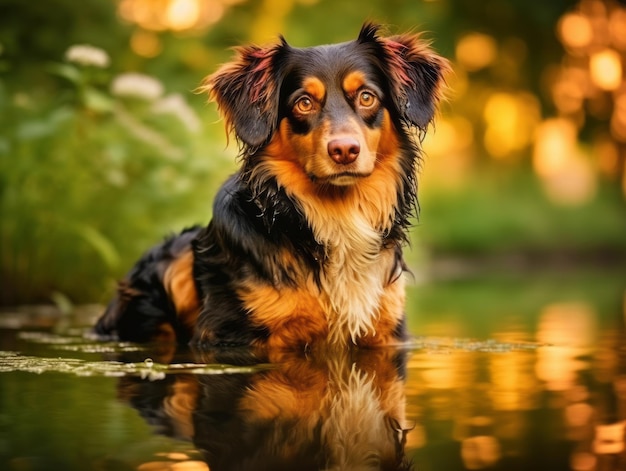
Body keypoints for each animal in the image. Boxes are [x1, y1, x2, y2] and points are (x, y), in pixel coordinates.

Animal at [92, 23, 446, 350]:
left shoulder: (386, 330)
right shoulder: (231, 335)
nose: (345, 150)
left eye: (366, 97)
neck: (336, 215)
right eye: (304, 103)